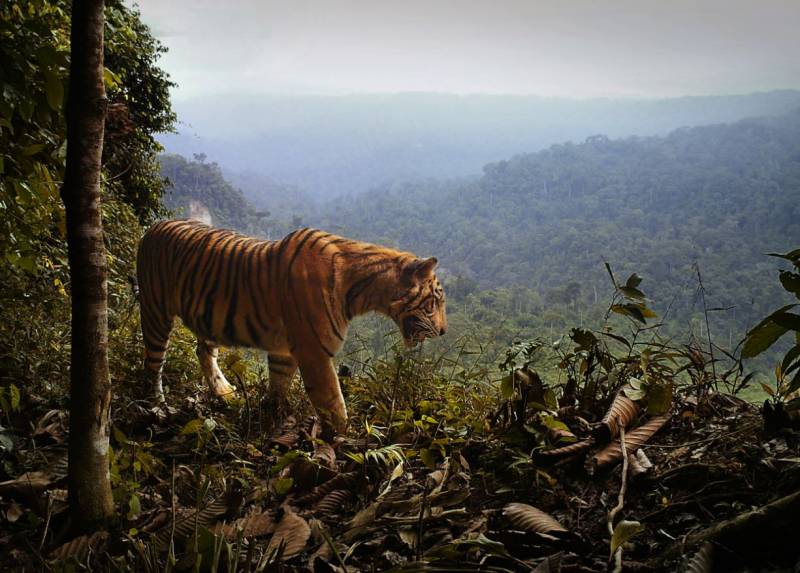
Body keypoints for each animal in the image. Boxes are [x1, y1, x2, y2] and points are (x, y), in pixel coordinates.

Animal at [136, 219, 447, 434]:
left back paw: (224, 392)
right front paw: (347, 439)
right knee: (152, 365)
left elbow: (279, 384)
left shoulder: (284, 350)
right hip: (155, 314)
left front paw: (271, 416)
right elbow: (333, 403)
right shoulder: (315, 353)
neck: (363, 291)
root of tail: (154, 226)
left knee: (203, 351)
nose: (443, 331)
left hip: (207, 319)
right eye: (435, 302)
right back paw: (156, 406)